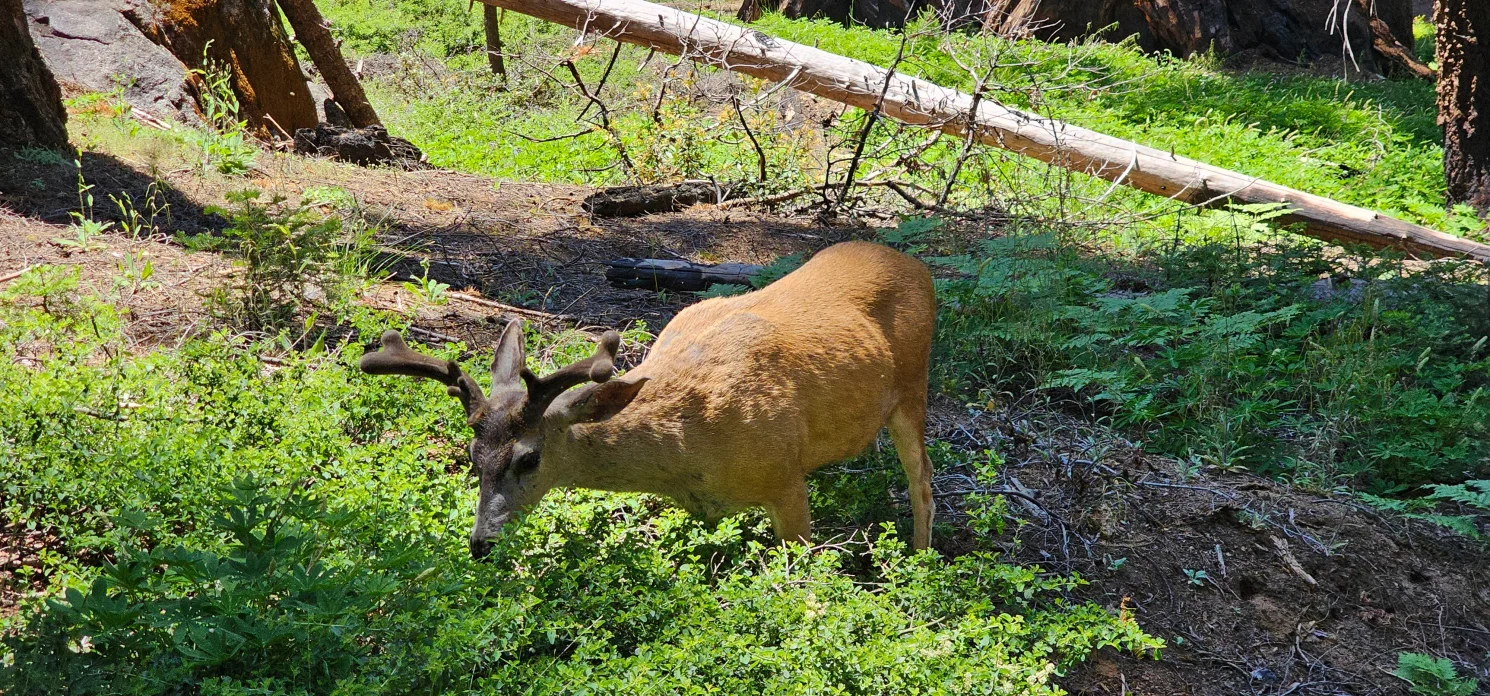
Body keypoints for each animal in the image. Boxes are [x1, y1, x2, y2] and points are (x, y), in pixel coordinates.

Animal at [360, 241, 936, 559]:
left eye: (529, 458)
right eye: (471, 458)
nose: (481, 545)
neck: (687, 445)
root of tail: (918, 266)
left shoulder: (786, 477)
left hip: (913, 387)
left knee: (922, 478)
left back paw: (920, 558)